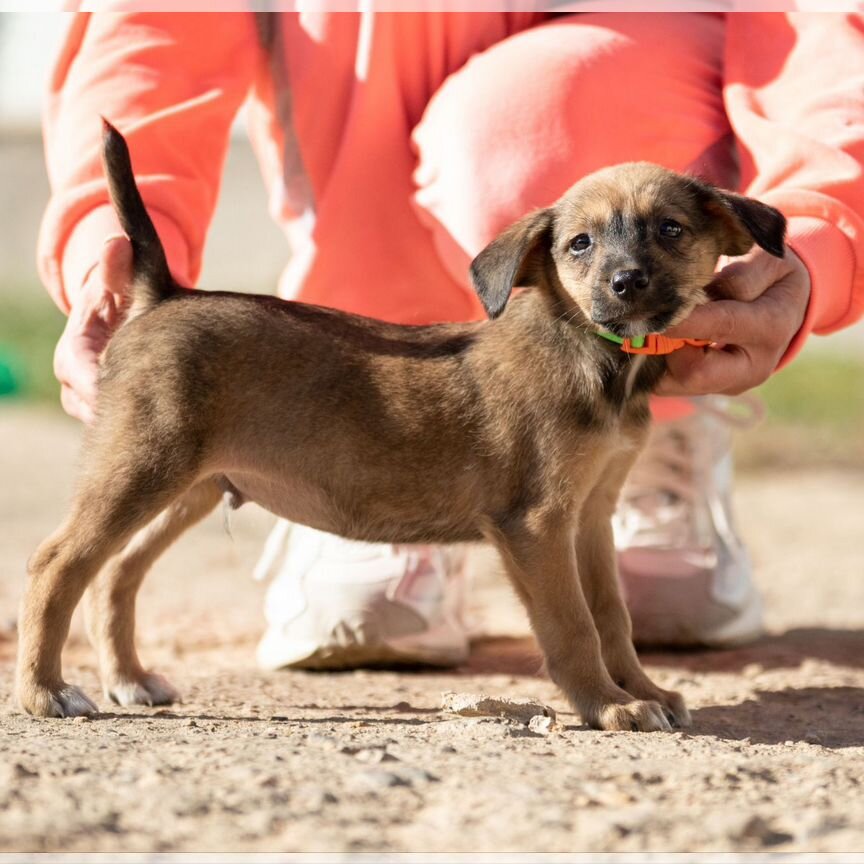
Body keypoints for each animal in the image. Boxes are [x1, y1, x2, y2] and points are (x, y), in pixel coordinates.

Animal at [15, 121, 784, 728]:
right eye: (580, 245)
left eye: (671, 230)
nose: (626, 283)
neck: (597, 356)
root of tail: (164, 293)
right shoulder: (539, 524)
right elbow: (572, 626)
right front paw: (606, 705)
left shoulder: (591, 516)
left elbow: (613, 619)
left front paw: (640, 688)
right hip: (142, 466)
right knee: (57, 562)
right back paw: (45, 692)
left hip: (194, 484)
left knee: (116, 573)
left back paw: (129, 679)